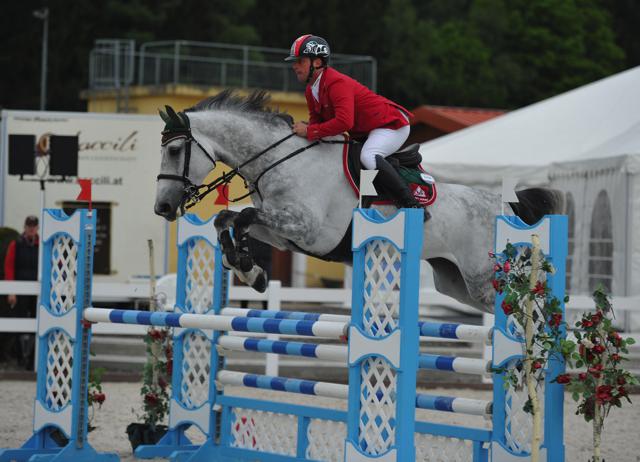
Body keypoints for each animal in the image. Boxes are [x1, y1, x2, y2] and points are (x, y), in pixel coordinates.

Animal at [154, 90, 560, 312]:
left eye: (174, 151)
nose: (162, 208)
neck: (280, 159)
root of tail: (506, 205)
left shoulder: (307, 229)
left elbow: (243, 216)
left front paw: (247, 268)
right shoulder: (284, 234)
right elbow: (228, 220)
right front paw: (248, 271)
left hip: (482, 278)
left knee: (524, 311)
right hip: (455, 283)